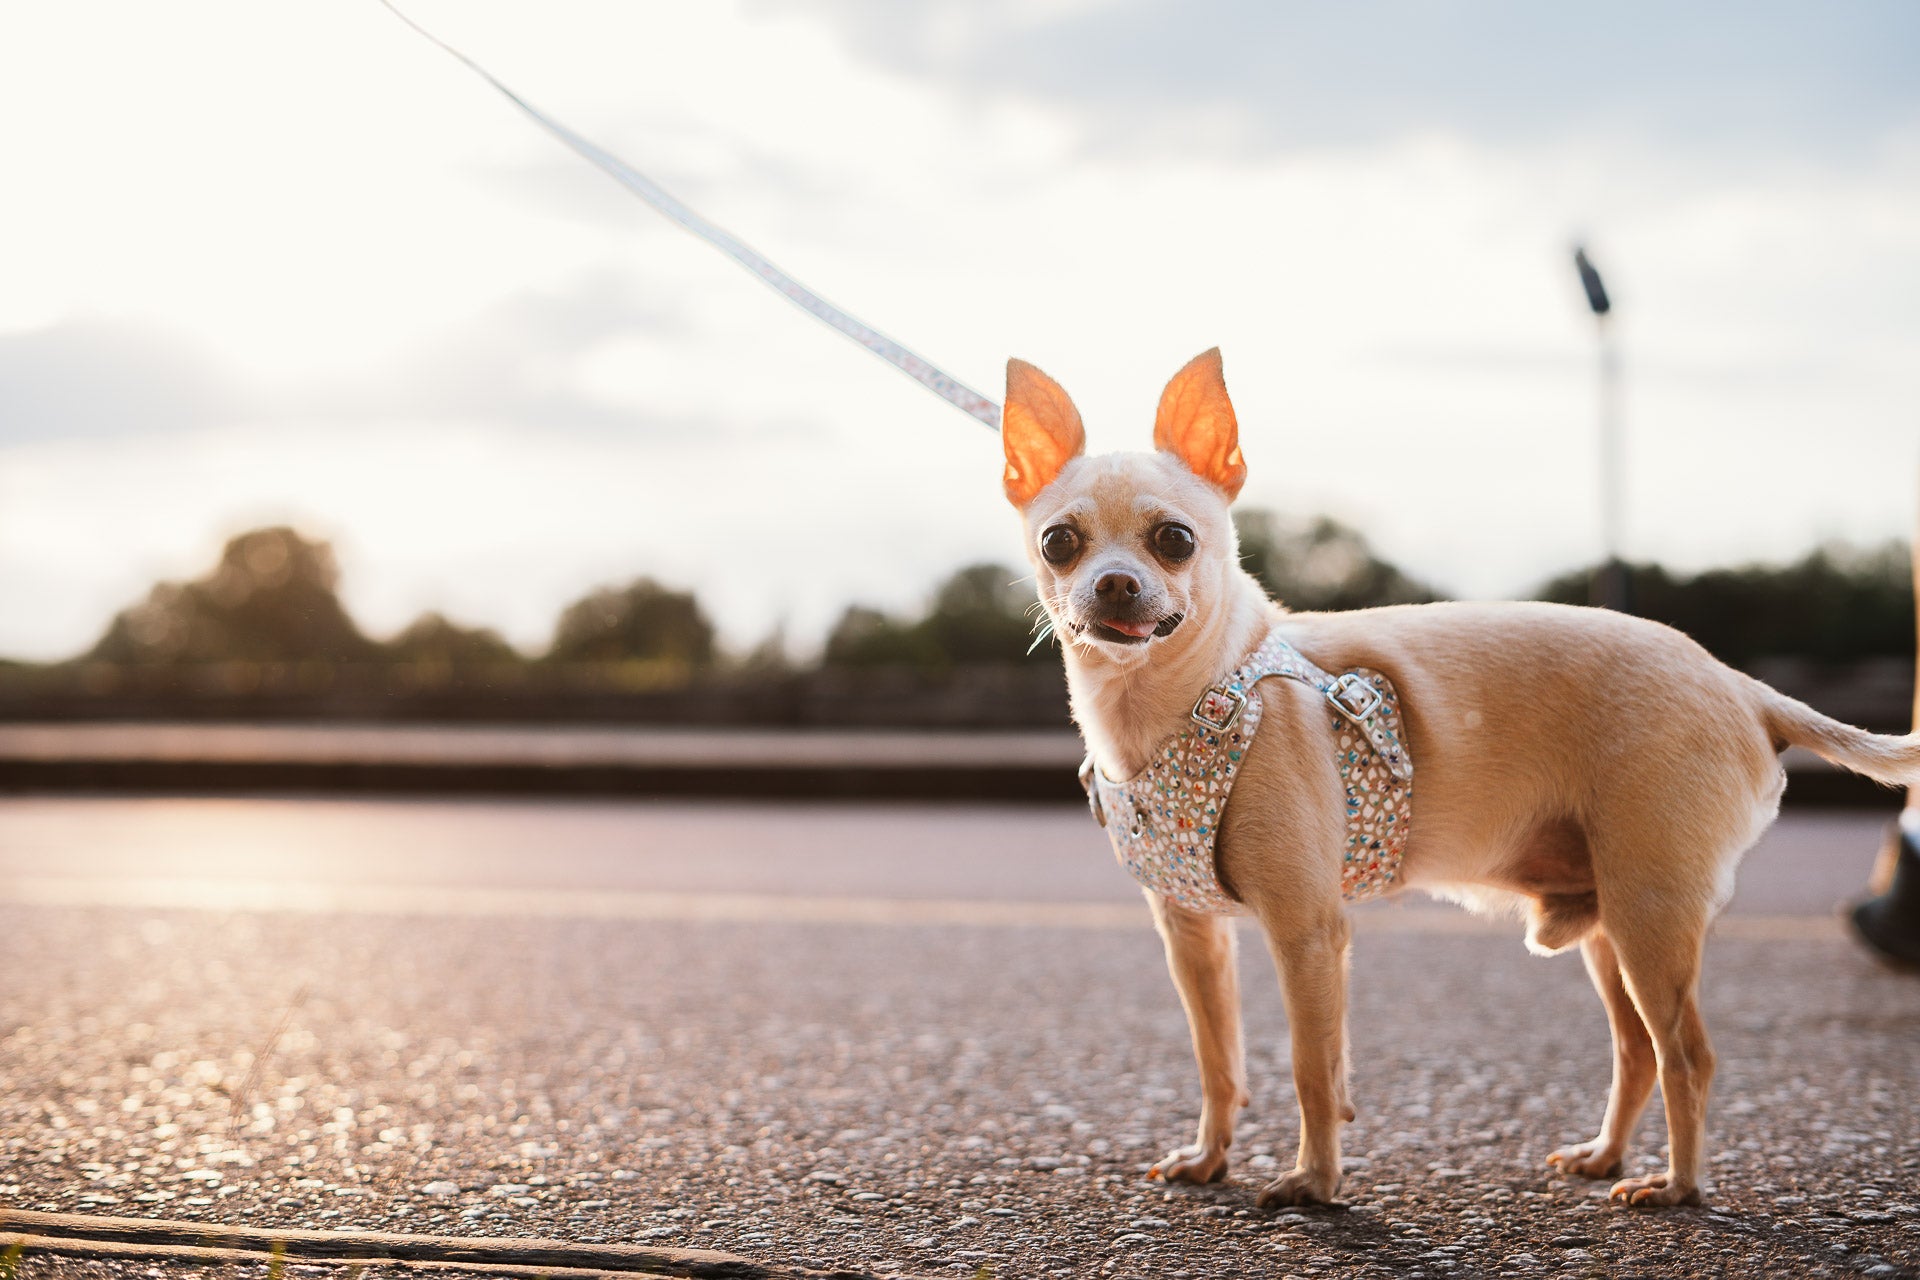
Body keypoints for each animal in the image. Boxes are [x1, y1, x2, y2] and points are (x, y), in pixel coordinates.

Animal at [998, 351, 1920, 1212]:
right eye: (1060, 542)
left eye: (1176, 540)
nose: (1115, 583)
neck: (1185, 698)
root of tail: (1744, 687)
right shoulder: (1192, 936)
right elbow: (1217, 1059)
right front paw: (1209, 1159)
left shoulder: (1308, 933)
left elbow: (1311, 1067)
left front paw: (1316, 1183)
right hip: (1613, 928)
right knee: (1637, 1051)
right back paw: (1606, 1157)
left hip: (1651, 917)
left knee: (1687, 1054)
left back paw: (1678, 1186)